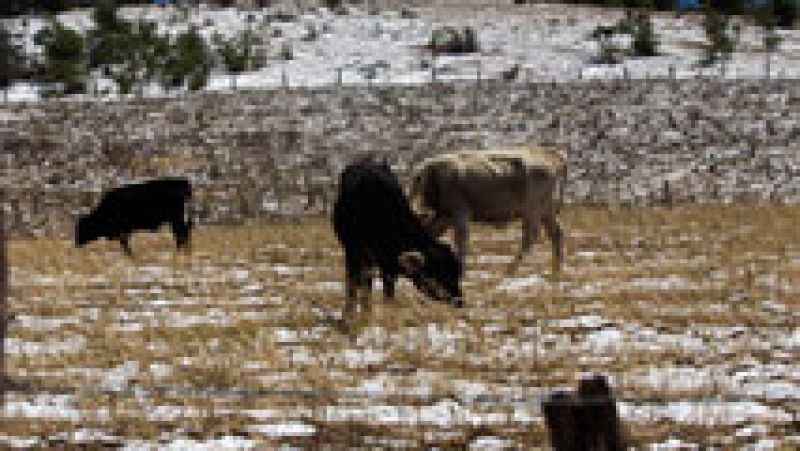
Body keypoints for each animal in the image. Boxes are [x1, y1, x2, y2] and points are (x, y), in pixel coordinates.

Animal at [332, 159, 462, 318]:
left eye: (457, 274)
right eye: (439, 275)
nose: (459, 301)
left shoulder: (388, 262)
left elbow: (388, 290)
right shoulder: (352, 251)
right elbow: (352, 285)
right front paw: (348, 316)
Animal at [410, 148, 564, 274]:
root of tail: (551, 156)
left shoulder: (459, 213)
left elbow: (461, 241)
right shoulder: (445, 216)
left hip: (531, 211)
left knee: (531, 235)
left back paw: (510, 270)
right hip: (546, 211)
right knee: (556, 233)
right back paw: (556, 269)